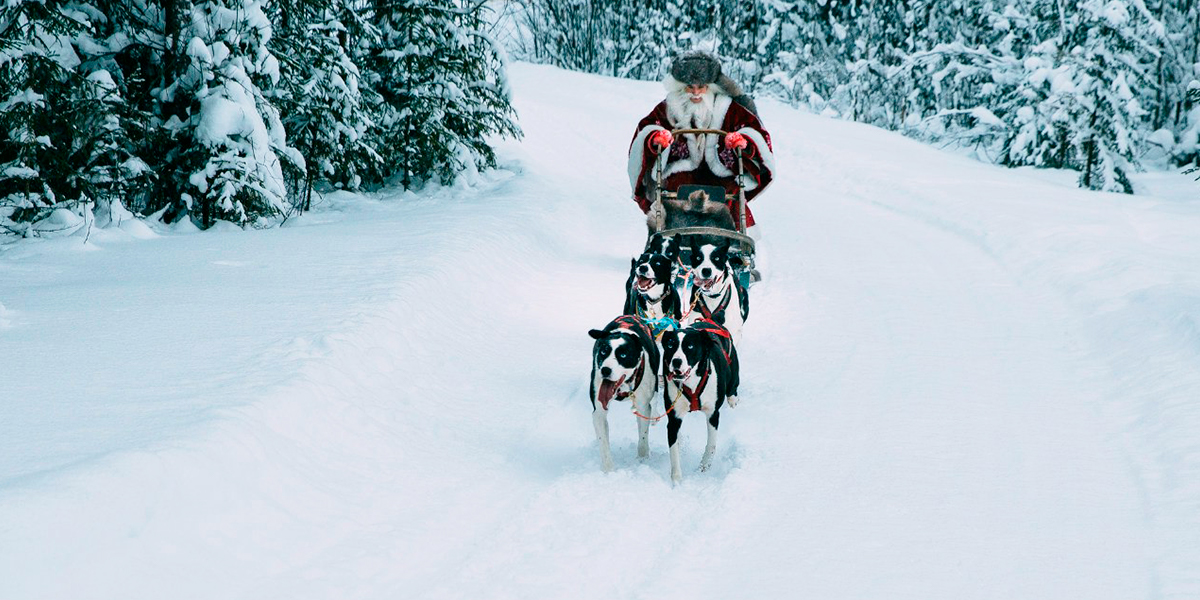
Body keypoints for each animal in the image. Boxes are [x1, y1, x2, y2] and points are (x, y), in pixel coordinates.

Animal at [585, 314, 662, 472]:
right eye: (603, 351)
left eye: (623, 354)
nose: (605, 370)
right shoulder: (599, 410)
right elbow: (603, 443)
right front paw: (609, 471)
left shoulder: (643, 405)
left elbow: (643, 437)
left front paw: (642, 460)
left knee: (655, 398)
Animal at [657, 319, 739, 482]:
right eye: (670, 345)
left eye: (690, 346)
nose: (676, 361)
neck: (691, 384)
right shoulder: (674, 418)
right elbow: (674, 450)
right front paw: (676, 480)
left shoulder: (713, 414)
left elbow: (711, 443)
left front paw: (705, 464)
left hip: (733, 373)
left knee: (732, 389)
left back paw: (733, 400)